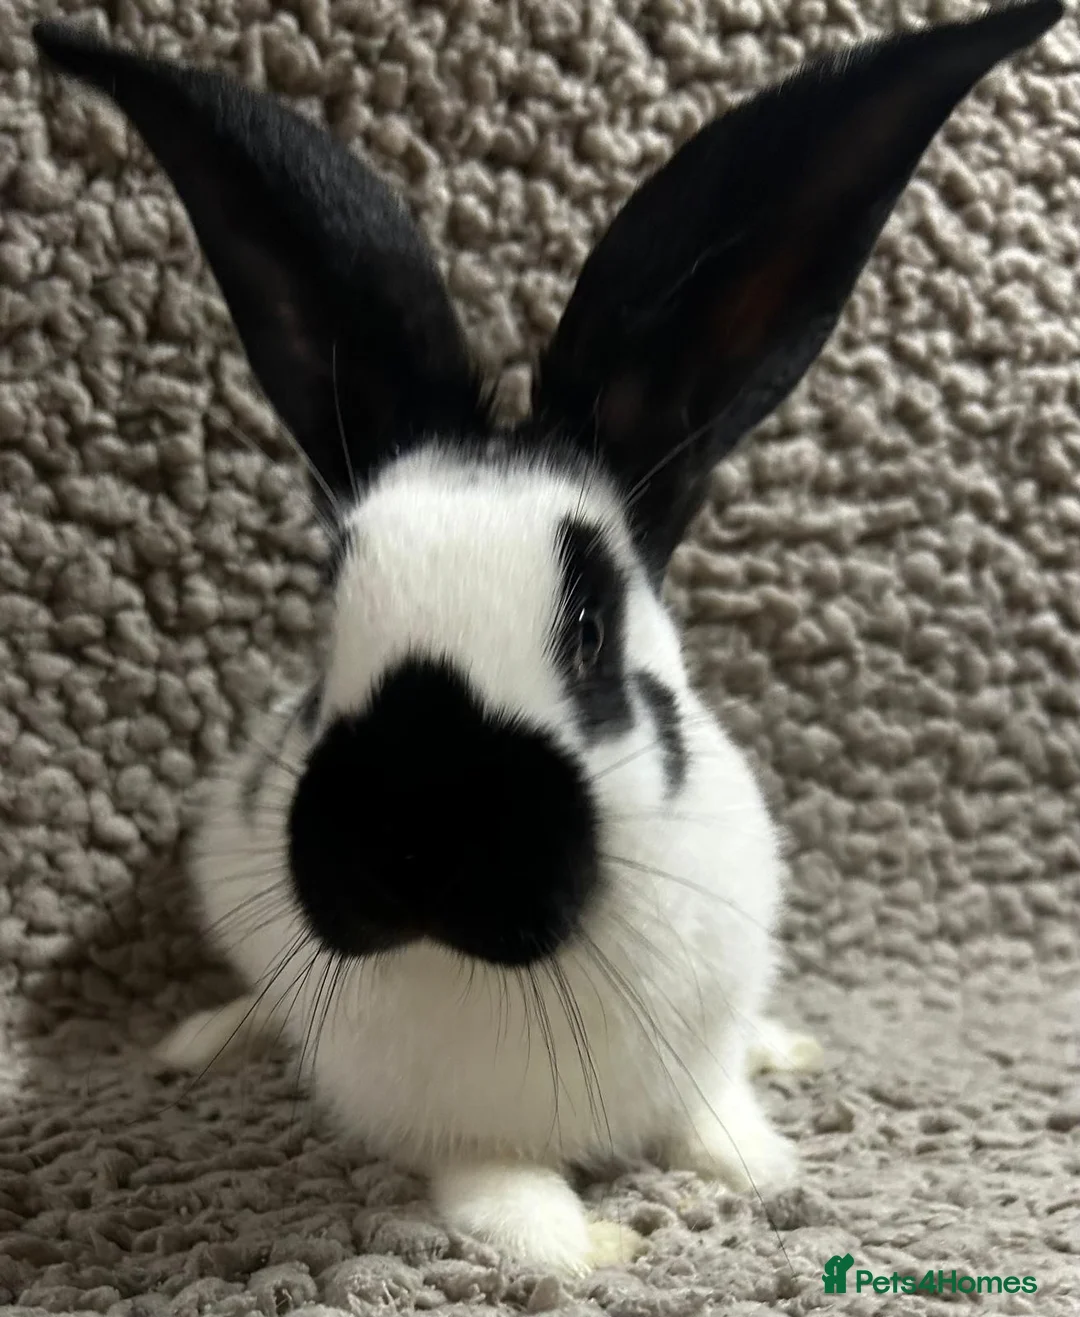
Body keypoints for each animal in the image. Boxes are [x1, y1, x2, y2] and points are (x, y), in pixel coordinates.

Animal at [33, 0, 1062, 1278]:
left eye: (588, 626)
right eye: (329, 624)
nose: (409, 845)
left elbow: (713, 1112)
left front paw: (762, 1167)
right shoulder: (448, 1128)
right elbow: (499, 1187)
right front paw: (580, 1248)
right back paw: (204, 1040)